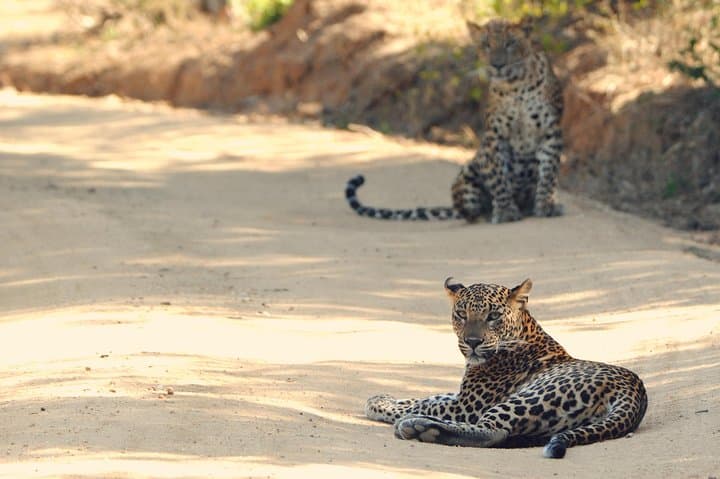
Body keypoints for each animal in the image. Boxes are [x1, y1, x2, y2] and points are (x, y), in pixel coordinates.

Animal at [345, 18, 564, 224]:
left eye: (510, 42)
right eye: (486, 44)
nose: (497, 65)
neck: (516, 86)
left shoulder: (551, 131)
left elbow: (548, 173)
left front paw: (546, 206)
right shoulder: (494, 135)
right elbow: (499, 179)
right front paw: (504, 211)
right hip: (469, 172)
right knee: (468, 211)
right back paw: (487, 213)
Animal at [365, 278, 648, 458]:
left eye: (493, 316)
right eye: (461, 314)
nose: (473, 342)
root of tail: (635, 392)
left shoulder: (466, 405)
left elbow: (424, 403)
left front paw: (377, 403)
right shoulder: (462, 396)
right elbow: (428, 397)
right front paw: (382, 397)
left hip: (530, 396)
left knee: (493, 431)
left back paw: (418, 426)